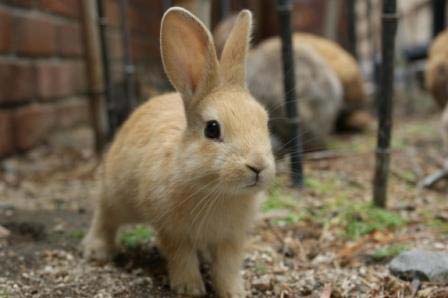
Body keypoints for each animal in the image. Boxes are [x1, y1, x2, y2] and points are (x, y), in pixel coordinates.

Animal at [82, 7, 274, 298]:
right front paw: (190, 288)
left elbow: (227, 267)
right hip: (116, 195)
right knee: (105, 215)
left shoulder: (231, 239)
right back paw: (96, 250)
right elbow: (181, 257)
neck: (217, 192)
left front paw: (234, 292)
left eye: (264, 121)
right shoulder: (172, 231)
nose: (258, 166)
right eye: (212, 129)